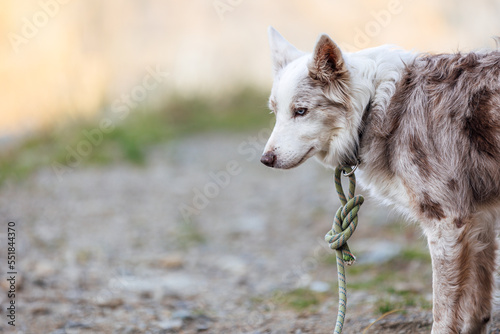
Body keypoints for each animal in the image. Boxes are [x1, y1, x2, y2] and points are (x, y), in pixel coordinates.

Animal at [262, 27, 500, 332]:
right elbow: (476, 306)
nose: (265, 159)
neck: (375, 107)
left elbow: (444, 309)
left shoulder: (447, 223)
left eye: (300, 111)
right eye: (275, 111)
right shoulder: (480, 219)